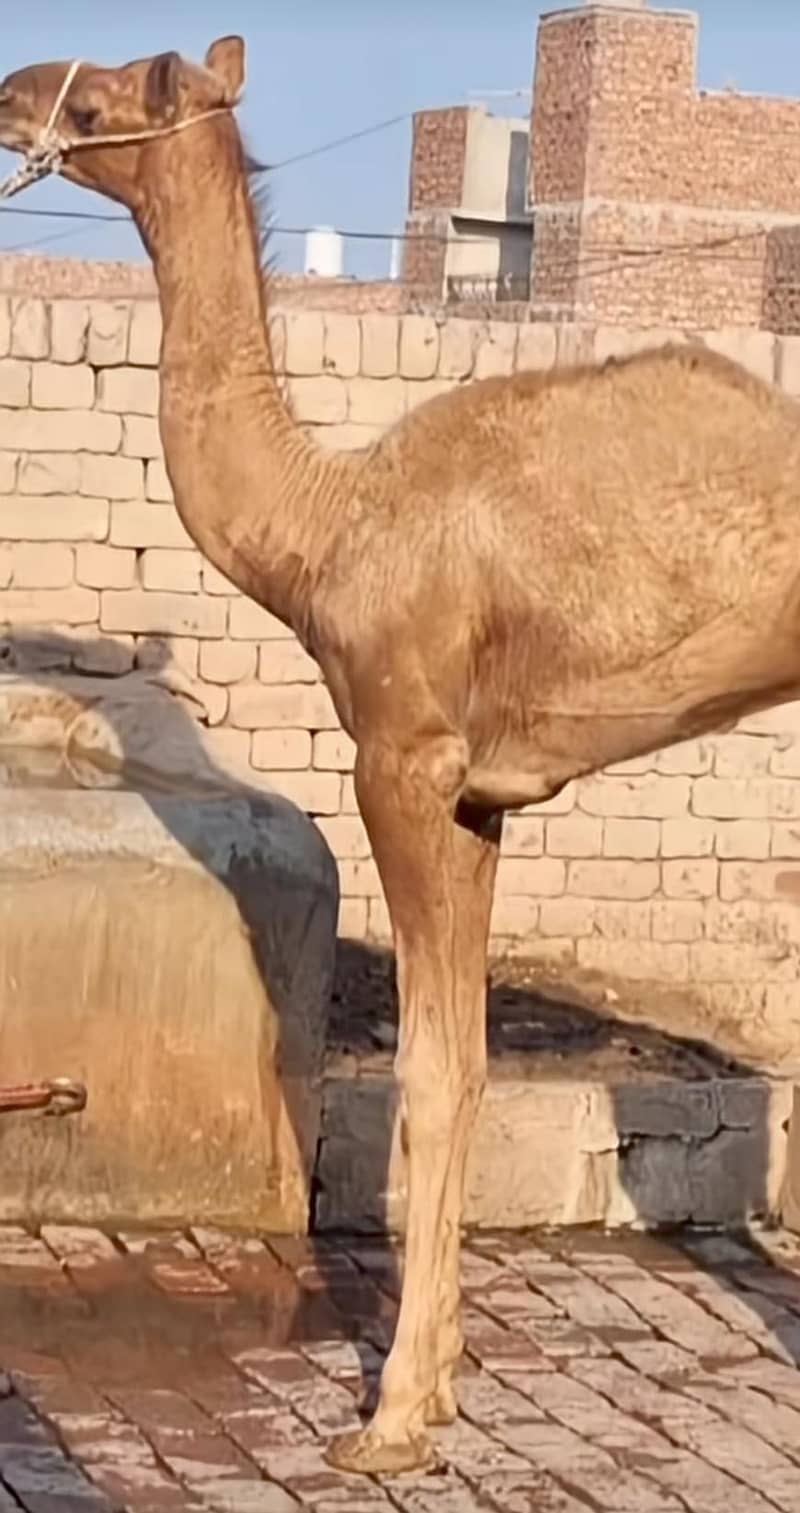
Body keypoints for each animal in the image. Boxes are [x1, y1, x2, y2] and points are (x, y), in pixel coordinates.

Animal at [2, 35, 800, 1476]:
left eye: (93, 102)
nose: (6, 96)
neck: (329, 533)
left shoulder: (402, 757)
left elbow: (425, 1072)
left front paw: (386, 1422)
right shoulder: (483, 798)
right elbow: (470, 1063)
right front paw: (430, 1392)